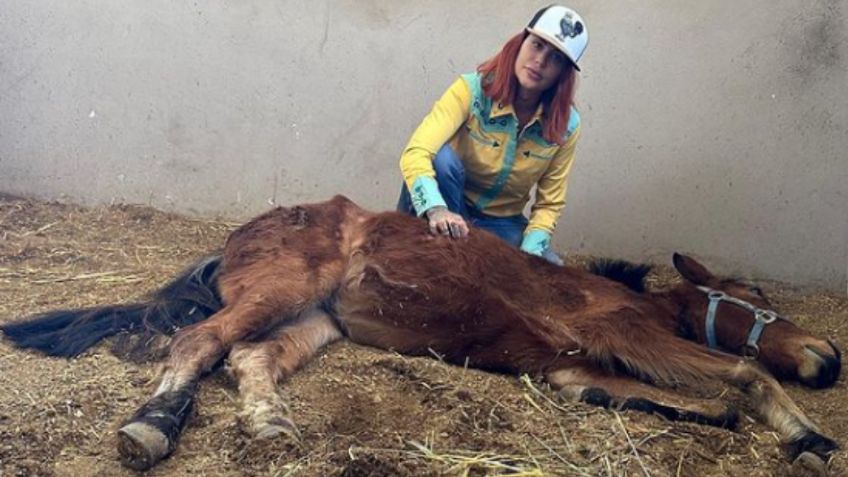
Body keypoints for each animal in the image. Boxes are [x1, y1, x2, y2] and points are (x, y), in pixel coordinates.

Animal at [0, 195, 840, 470]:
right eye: (756, 295)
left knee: (246, 356)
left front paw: (730, 419)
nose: (829, 357)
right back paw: (149, 427)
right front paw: (809, 436)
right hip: (284, 290)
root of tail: (239, 235)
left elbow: (651, 399)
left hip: (314, 319)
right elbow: (745, 372)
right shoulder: (635, 336)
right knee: (197, 343)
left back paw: (269, 423)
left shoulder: (577, 369)